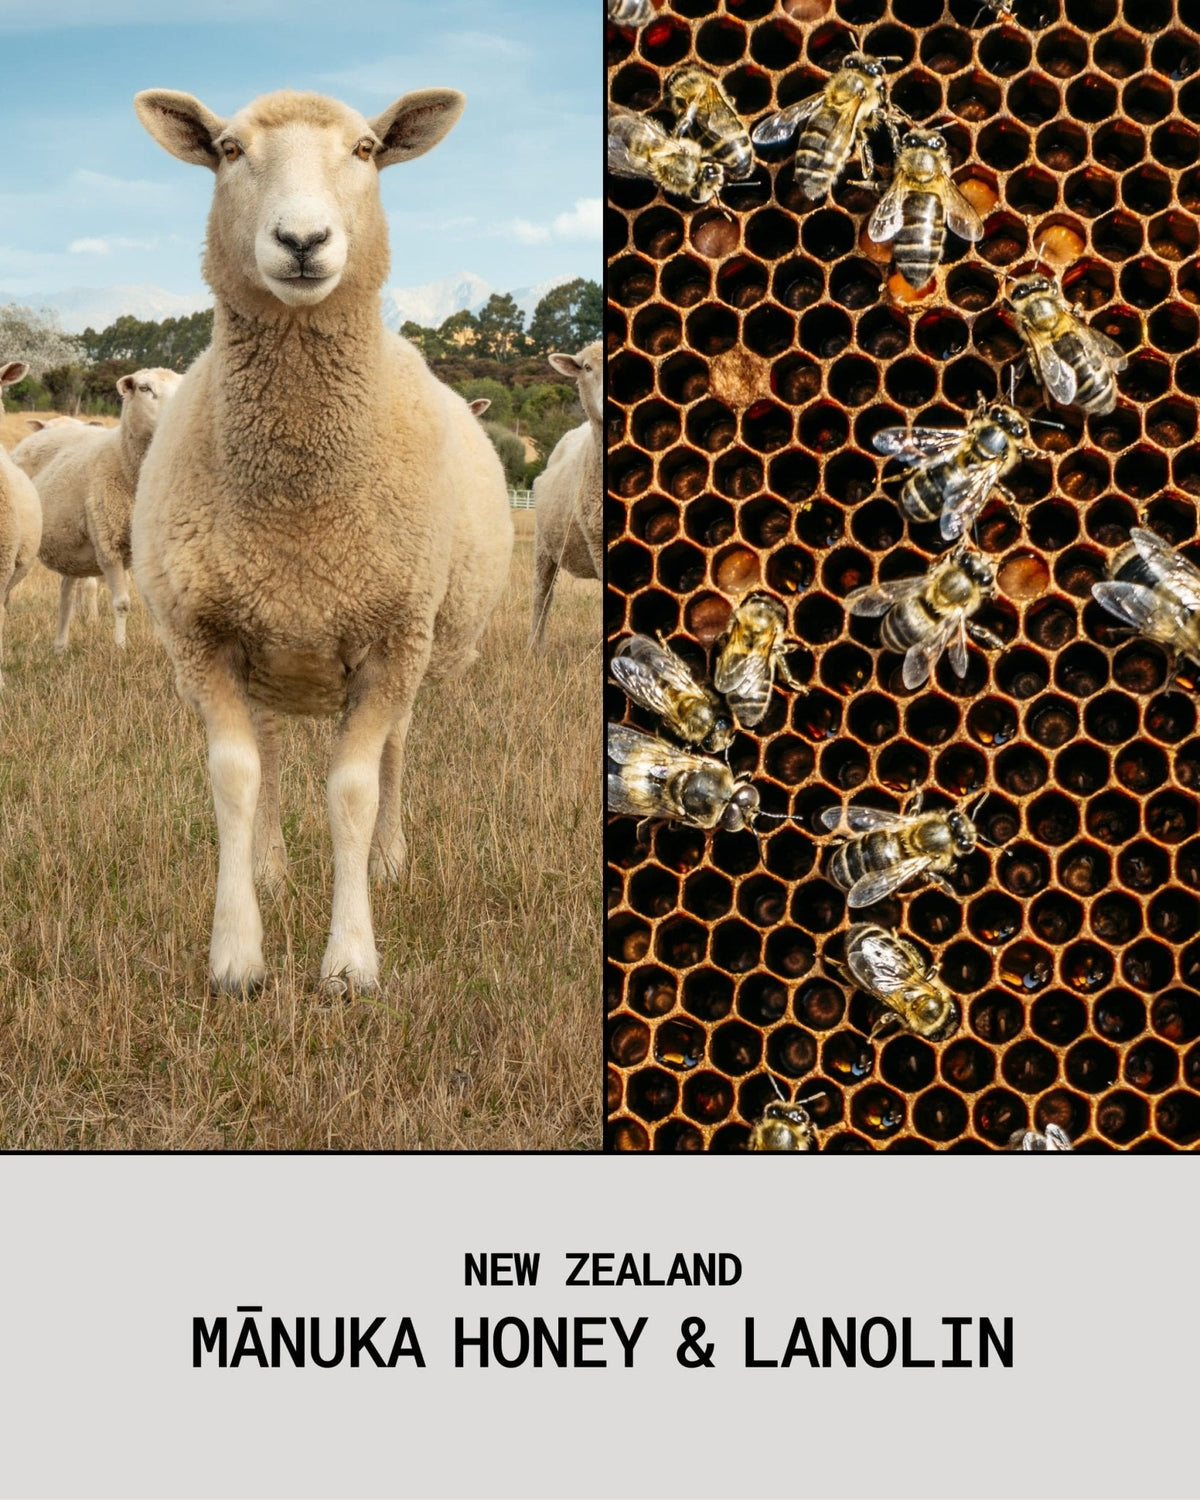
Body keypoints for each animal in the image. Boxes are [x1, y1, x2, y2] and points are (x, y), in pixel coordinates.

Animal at [34, 368, 181, 651]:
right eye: (144, 388)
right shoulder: (107, 543)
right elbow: (122, 603)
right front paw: (120, 648)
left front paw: (161, 643)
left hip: (70, 547)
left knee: (67, 590)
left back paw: (60, 646)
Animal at [132, 86, 513, 997]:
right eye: (229, 149)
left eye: (367, 149)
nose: (302, 240)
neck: (301, 501)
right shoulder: (205, 636)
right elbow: (235, 777)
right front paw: (237, 954)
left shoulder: (392, 638)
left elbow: (353, 790)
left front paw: (350, 963)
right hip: (268, 642)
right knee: (269, 753)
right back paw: (270, 866)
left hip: (412, 647)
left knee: (396, 754)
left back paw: (388, 862)